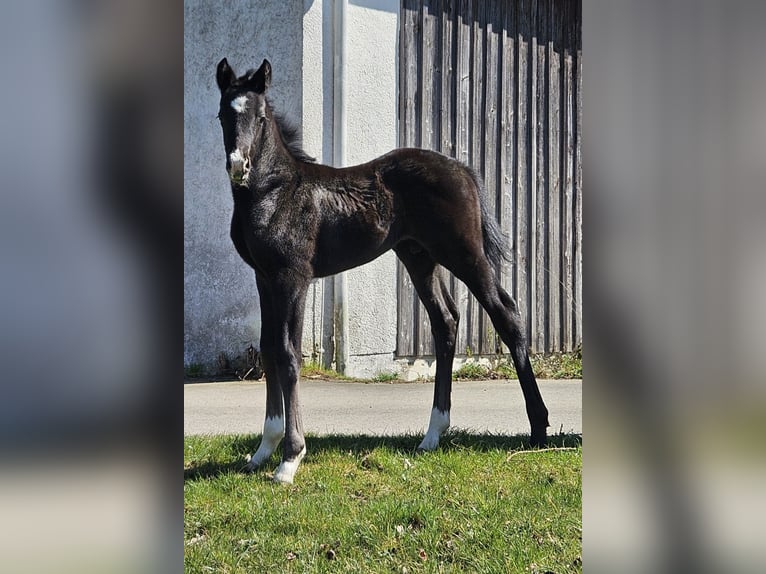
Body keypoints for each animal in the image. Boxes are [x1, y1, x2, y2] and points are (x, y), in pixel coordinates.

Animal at [215, 57, 549, 483]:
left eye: (259, 118)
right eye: (224, 114)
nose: (238, 166)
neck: (275, 191)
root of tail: (461, 168)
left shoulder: (293, 277)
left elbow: (288, 354)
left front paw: (290, 458)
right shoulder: (264, 277)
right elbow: (269, 348)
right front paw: (263, 450)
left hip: (465, 254)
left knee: (506, 314)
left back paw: (538, 427)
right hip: (419, 257)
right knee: (445, 322)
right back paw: (432, 435)